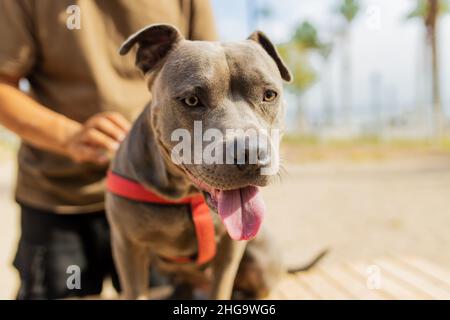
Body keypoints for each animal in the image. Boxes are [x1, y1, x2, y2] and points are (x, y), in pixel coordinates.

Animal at [104, 23, 296, 300]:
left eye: (269, 95)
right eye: (192, 100)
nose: (250, 153)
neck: (186, 194)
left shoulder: (229, 250)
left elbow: (221, 288)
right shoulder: (128, 248)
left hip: (260, 258)